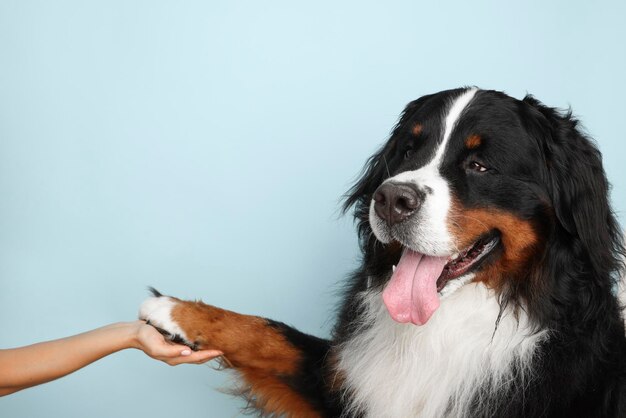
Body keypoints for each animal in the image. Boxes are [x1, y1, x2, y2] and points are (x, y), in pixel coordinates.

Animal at [138, 86, 624, 416]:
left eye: (479, 165)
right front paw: (179, 312)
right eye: (408, 150)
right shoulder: (346, 381)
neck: (443, 329)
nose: (390, 199)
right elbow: (269, 333)